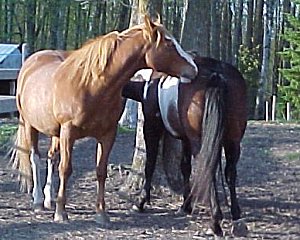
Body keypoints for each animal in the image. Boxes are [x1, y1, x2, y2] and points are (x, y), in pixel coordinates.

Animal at [11, 15, 198, 224]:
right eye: (168, 43)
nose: (194, 69)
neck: (92, 86)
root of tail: (31, 62)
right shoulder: (68, 133)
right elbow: (65, 169)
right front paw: (61, 213)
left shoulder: (107, 134)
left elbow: (101, 171)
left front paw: (101, 212)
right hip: (30, 125)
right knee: (35, 157)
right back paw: (38, 199)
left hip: (54, 132)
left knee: (51, 157)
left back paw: (48, 199)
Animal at [122, 54, 248, 236]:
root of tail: (216, 75)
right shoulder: (186, 139)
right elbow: (185, 167)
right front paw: (185, 205)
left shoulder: (152, 126)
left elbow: (150, 163)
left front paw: (141, 201)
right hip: (233, 141)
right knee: (230, 172)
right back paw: (235, 213)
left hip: (200, 141)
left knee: (208, 171)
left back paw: (215, 220)